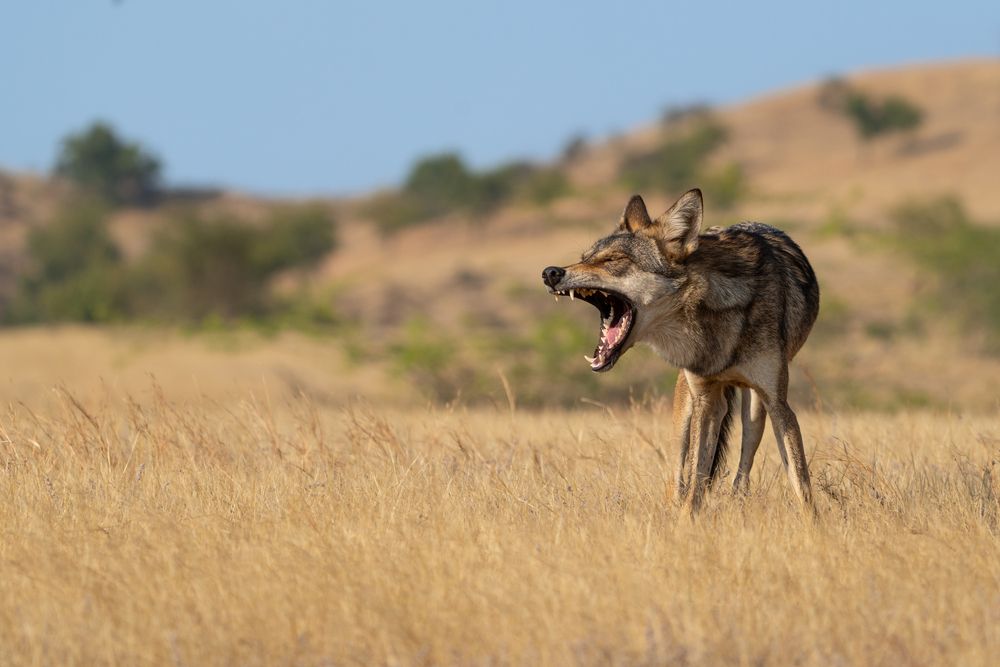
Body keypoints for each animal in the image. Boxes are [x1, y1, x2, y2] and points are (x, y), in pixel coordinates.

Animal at [541, 189, 820, 511]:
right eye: (585, 259)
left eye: (612, 259)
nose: (550, 272)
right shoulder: (704, 400)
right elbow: (695, 483)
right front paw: (686, 519)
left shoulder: (778, 403)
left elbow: (800, 483)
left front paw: (812, 522)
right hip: (689, 404)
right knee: (679, 470)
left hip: (755, 408)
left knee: (744, 460)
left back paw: (738, 500)